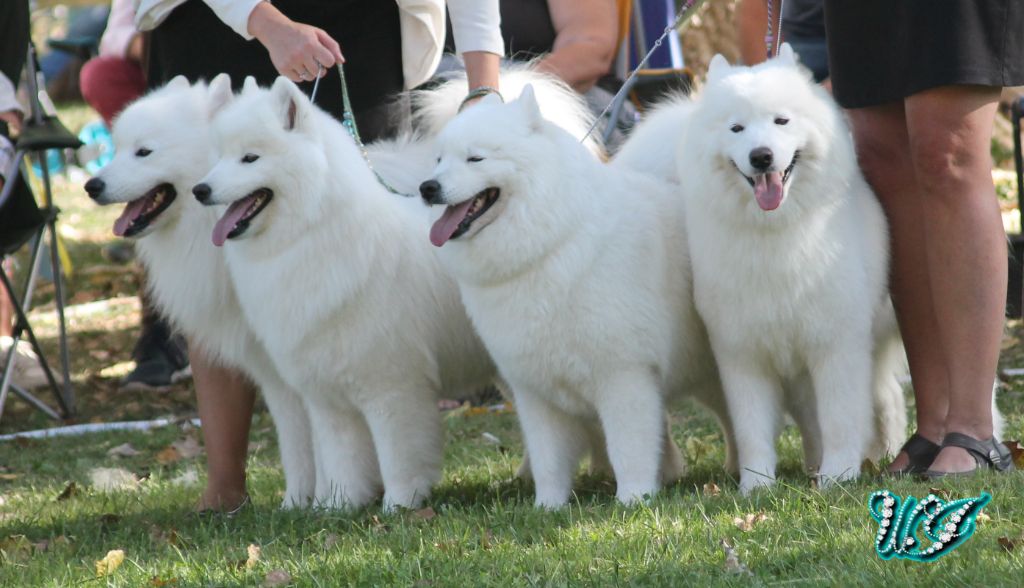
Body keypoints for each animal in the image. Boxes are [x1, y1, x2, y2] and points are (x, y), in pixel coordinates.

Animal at [415, 85, 729, 510]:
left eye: (475, 158)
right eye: (438, 160)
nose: (427, 188)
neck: (550, 244)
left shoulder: (624, 375)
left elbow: (629, 447)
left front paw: (634, 499)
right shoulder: (534, 390)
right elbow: (548, 459)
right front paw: (547, 507)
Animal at [675, 46, 909, 495]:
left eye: (781, 121)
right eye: (736, 128)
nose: (761, 156)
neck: (774, 234)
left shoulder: (836, 345)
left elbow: (839, 418)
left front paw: (838, 476)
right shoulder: (742, 353)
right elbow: (752, 427)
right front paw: (757, 484)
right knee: (885, 396)